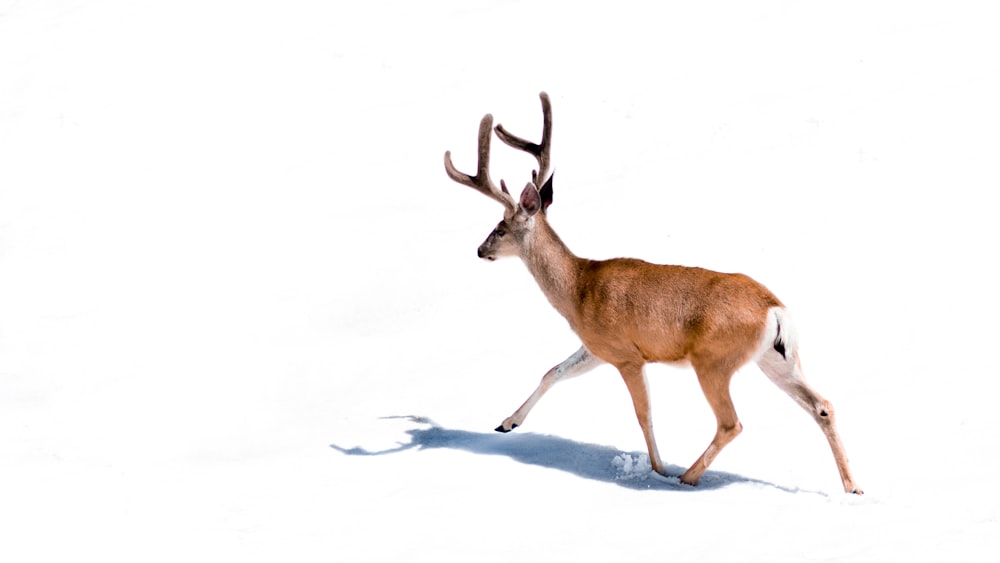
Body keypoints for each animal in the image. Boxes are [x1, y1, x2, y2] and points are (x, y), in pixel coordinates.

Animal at [442, 91, 864, 494]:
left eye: (499, 228)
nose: (479, 250)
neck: (579, 289)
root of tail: (775, 310)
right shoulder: (597, 347)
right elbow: (552, 372)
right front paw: (507, 422)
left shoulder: (627, 354)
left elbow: (643, 414)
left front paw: (657, 469)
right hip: (776, 358)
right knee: (822, 405)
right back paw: (853, 487)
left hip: (714, 360)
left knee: (731, 423)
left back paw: (685, 477)